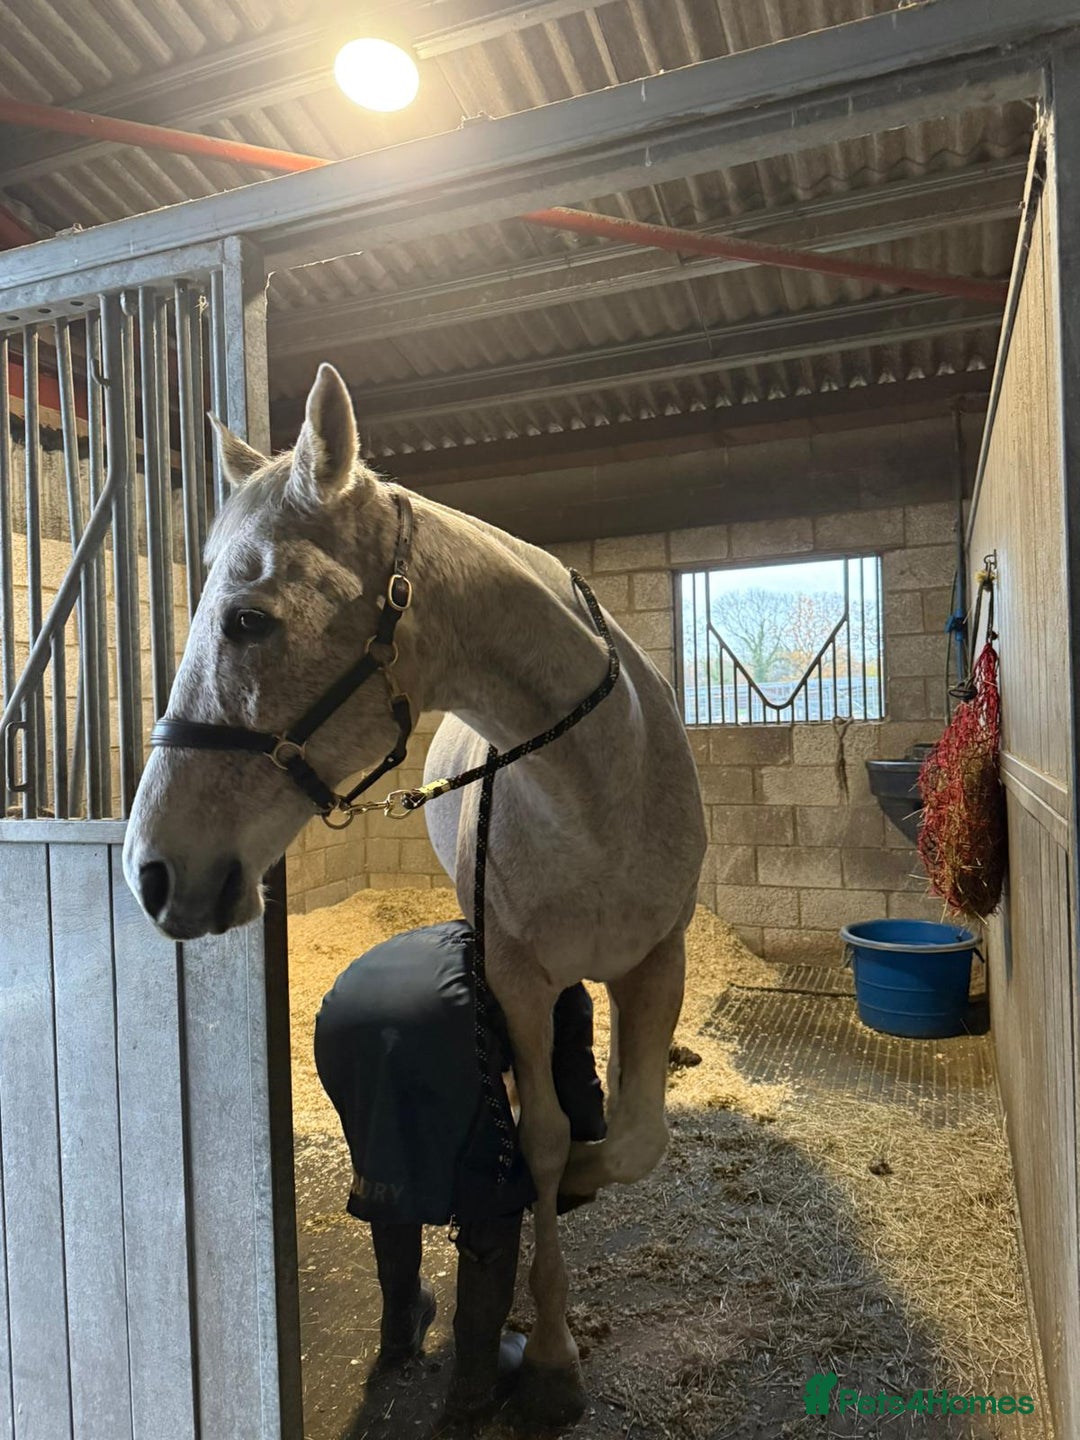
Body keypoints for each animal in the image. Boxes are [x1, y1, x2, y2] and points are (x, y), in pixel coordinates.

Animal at [123, 363, 707, 1425]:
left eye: (248, 619)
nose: (150, 872)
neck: (601, 788)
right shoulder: (517, 974)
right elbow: (544, 1141)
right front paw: (551, 1349)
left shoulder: (659, 961)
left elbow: (637, 1136)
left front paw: (585, 1184)